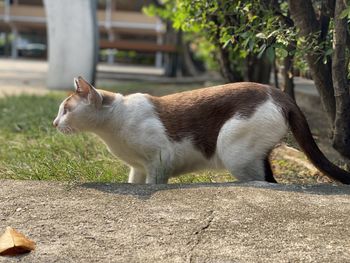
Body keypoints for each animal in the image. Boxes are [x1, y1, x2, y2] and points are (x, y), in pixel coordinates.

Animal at [52, 76, 350, 185]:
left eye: (64, 109)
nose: (54, 123)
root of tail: (280, 92)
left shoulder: (158, 162)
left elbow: (153, 184)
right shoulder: (138, 168)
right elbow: (134, 183)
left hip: (234, 152)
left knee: (265, 182)